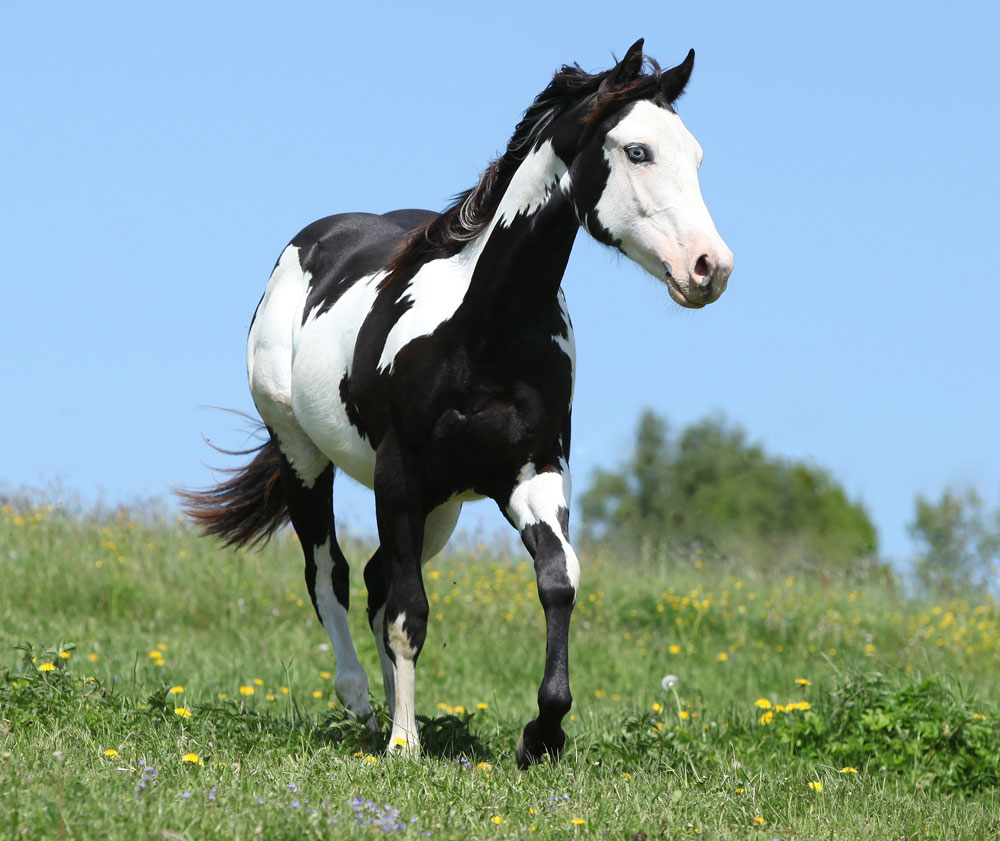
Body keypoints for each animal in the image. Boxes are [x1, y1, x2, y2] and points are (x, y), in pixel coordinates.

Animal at [182, 38, 733, 767]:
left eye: (694, 155)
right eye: (637, 150)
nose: (710, 268)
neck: (484, 334)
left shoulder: (533, 473)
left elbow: (556, 580)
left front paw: (541, 734)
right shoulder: (400, 474)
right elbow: (408, 611)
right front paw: (404, 745)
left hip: (440, 507)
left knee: (378, 578)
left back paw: (391, 709)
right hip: (306, 457)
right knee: (330, 574)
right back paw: (362, 704)